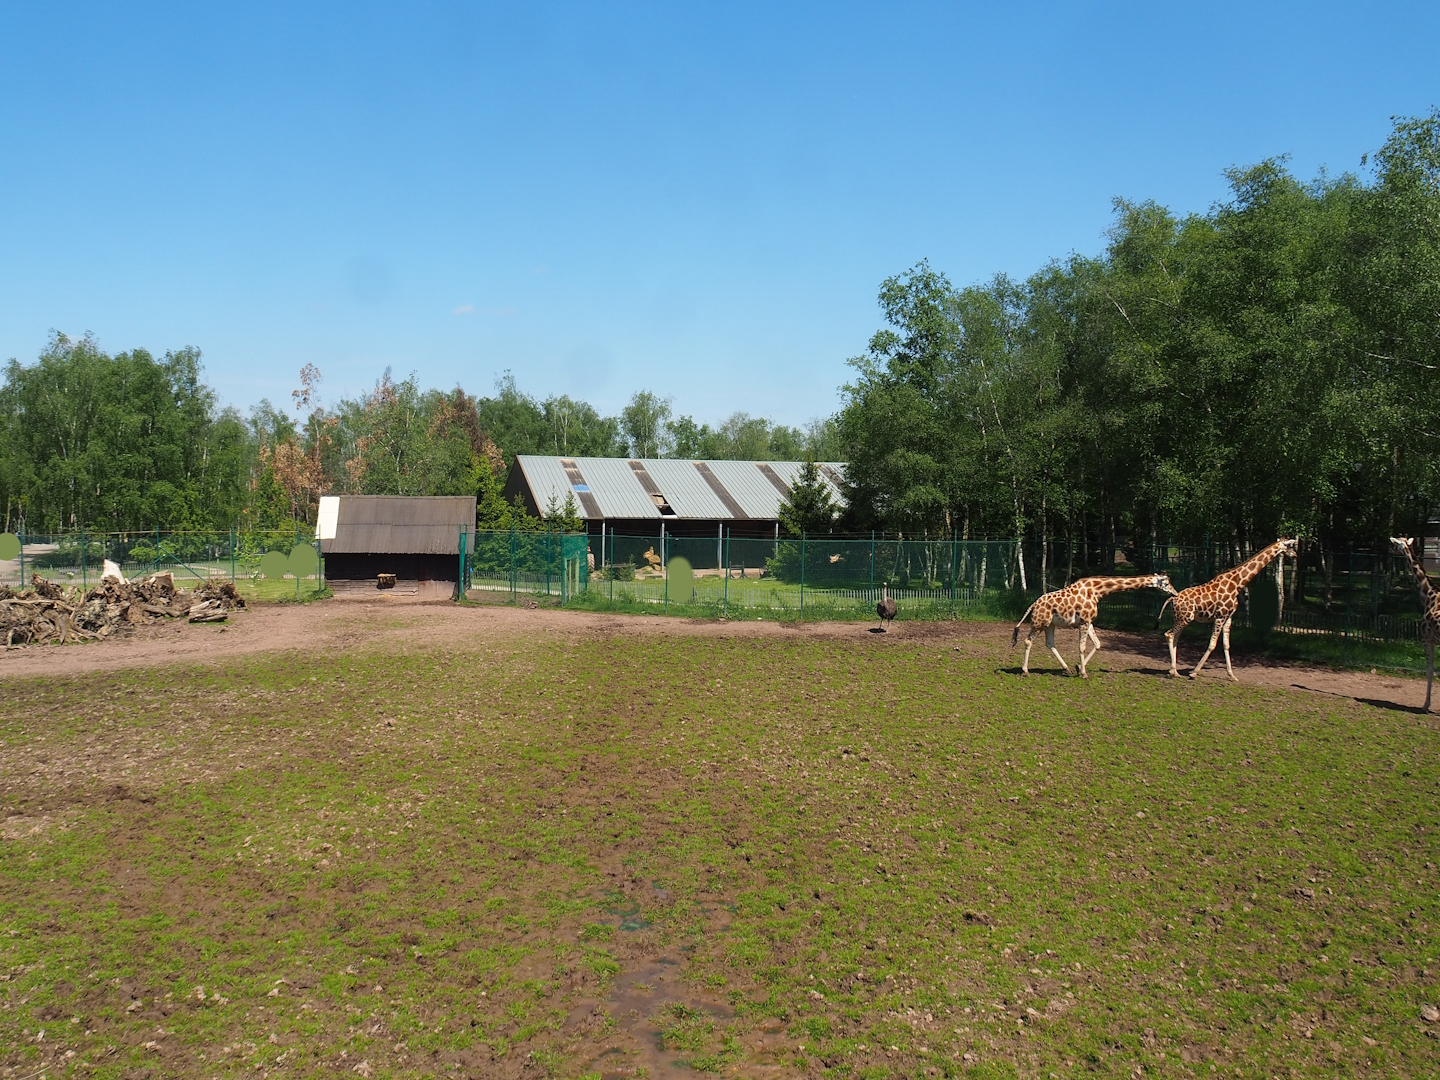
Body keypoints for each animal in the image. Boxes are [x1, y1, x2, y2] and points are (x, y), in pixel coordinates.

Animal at [1012, 573, 1178, 678]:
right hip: (1039, 623)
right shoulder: (1084, 621)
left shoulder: (1089, 621)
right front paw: (1084, 673)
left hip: (1050, 624)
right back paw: (1025, 671)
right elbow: (1082, 647)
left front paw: (1079, 668)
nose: (1175, 593)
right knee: (1028, 641)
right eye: (1166, 583)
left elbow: (1098, 644)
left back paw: (1067, 669)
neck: (1098, 591)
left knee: (1050, 643)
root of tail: (1033, 605)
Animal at [1156, 538, 1298, 681]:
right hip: (1185, 618)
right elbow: (1212, 644)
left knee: (1175, 637)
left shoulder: (1229, 617)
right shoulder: (1220, 616)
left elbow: (1226, 644)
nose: (1295, 555)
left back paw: (1174, 671)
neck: (1237, 583)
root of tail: (1172, 599)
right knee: (1169, 634)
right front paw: (1194, 672)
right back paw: (1173, 671)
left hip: (1181, 618)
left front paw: (1232, 675)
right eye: (1290, 546)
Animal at [1390, 536, 1439, 712]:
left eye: (1395, 543)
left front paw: (1425, 705)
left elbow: (1430, 671)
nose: (1389, 548)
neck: (1428, 593)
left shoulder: (1426, 639)